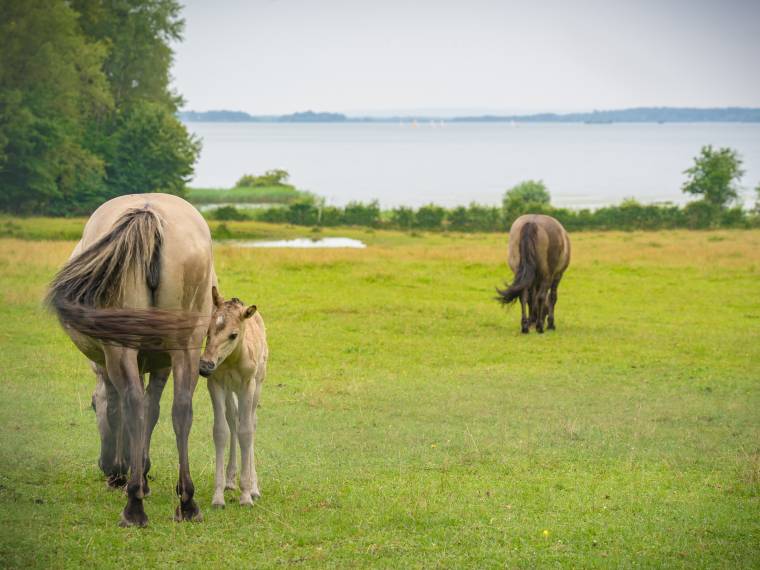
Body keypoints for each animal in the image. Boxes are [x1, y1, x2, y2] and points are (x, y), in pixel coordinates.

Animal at [46, 192, 215, 524]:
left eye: (91, 406)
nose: (105, 467)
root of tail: (147, 214)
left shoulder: (106, 367)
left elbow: (116, 409)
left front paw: (122, 473)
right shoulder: (162, 365)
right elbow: (154, 410)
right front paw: (142, 471)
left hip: (119, 350)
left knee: (132, 403)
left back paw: (134, 504)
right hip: (185, 348)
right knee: (180, 409)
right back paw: (187, 502)